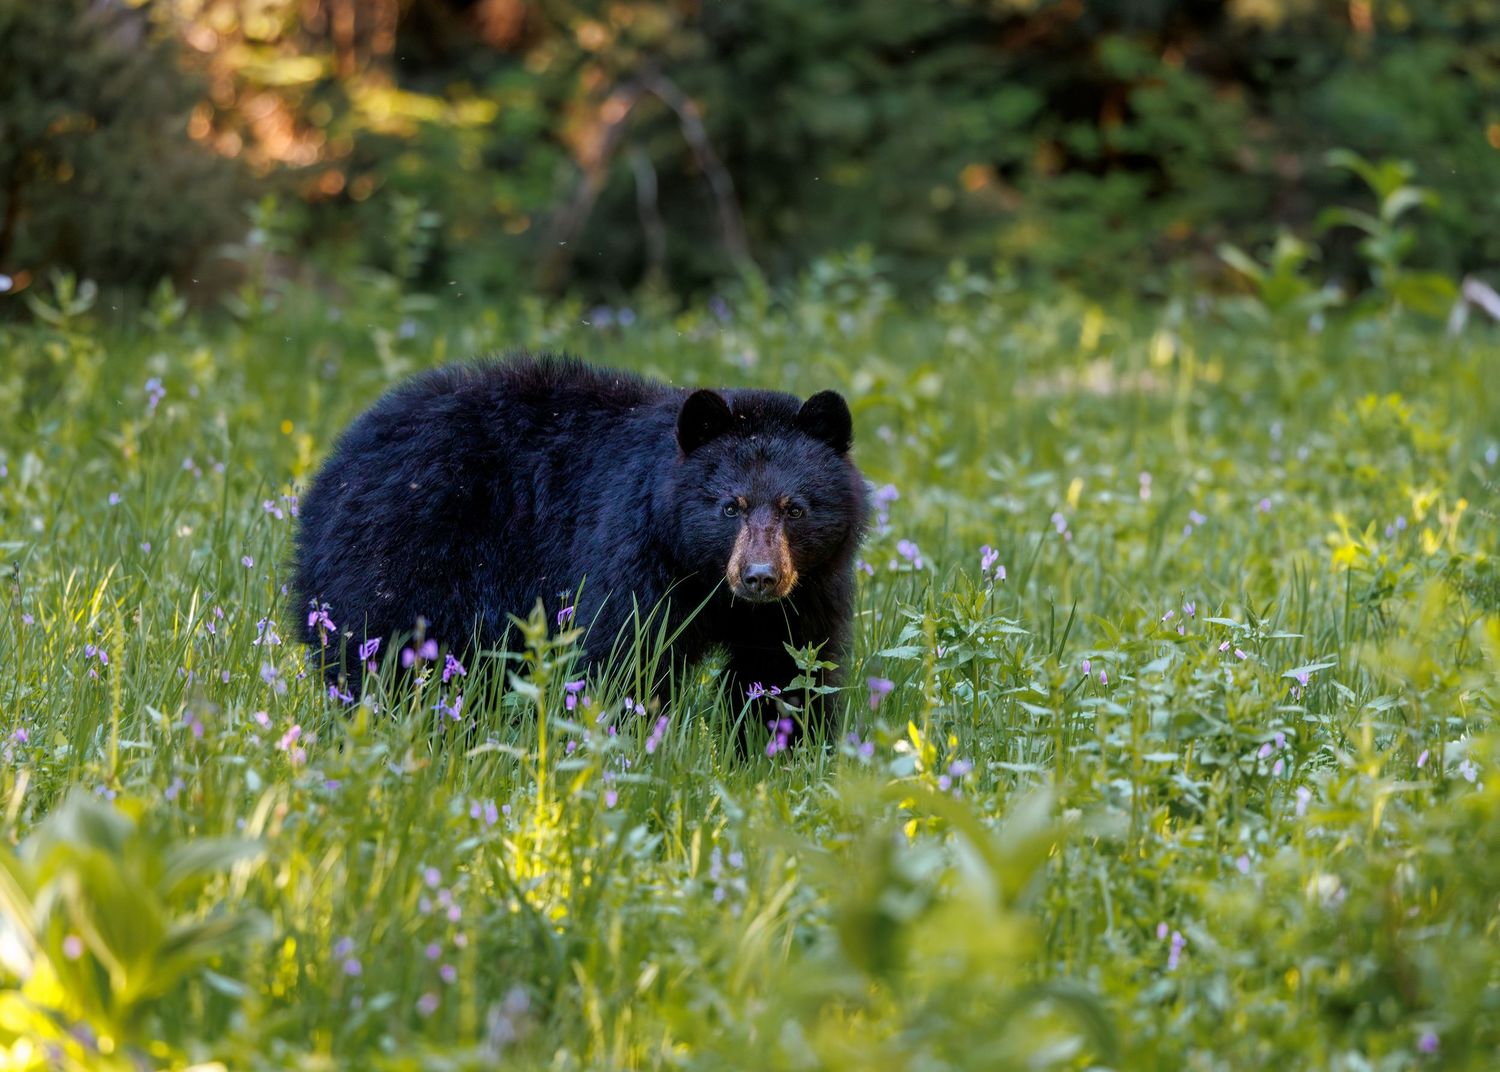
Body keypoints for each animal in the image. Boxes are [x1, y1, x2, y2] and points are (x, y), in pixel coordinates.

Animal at [292, 353, 869, 747]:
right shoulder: (634, 551)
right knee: (385, 652)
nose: (760, 576)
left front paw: (781, 751)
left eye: (795, 508)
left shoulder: (808, 589)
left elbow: (787, 667)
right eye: (731, 506)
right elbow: (625, 653)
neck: (706, 579)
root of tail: (333, 468)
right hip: (406, 551)